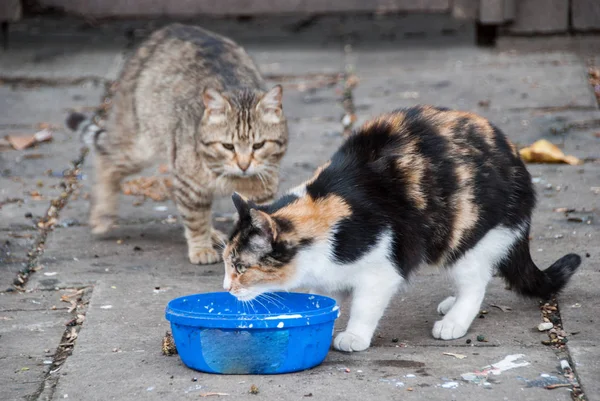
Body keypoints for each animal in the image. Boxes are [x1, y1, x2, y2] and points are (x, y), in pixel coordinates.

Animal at [67, 23, 288, 264]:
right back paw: (102, 215)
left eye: (259, 145)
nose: (244, 165)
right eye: (228, 146)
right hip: (139, 144)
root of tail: (173, 27)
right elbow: (195, 219)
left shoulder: (262, 190)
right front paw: (201, 248)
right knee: (107, 159)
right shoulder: (190, 185)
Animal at [221, 105, 580, 350]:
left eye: (240, 267)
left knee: (476, 281)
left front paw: (354, 335)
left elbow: (366, 304)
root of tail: (517, 160)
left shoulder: (382, 267)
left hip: (465, 235)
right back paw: (451, 303)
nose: (226, 287)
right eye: (226, 264)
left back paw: (454, 320)